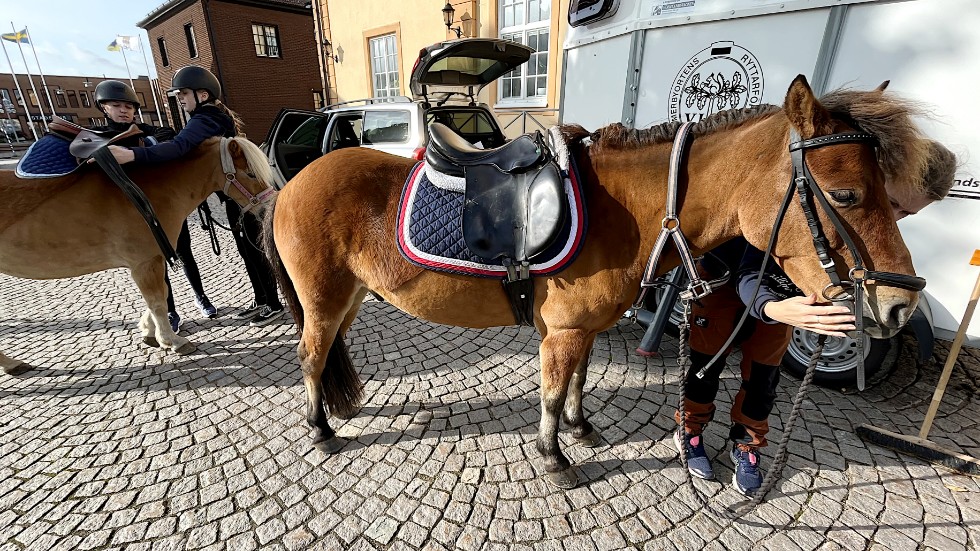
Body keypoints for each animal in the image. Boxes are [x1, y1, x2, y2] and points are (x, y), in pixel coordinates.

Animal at [0, 136, 276, 374]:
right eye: (251, 173)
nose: (268, 208)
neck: (146, 191)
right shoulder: (145, 261)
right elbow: (157, 300)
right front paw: (172, 340)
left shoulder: (152, 258)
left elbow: (159, 295)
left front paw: (149, 331)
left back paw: (14, 364)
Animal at [264, 76, 932, 488]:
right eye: (846, 194)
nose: (899, 303)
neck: (625, 211)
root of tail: (291, 185)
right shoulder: (561, 331)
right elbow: (551, 393)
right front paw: (554, 457)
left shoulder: (581, 330)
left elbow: (579, 383)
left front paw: (581, 429)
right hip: (323, 298)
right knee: (310, 355)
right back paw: (320, 431)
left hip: (352, 296)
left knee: (326, 352)